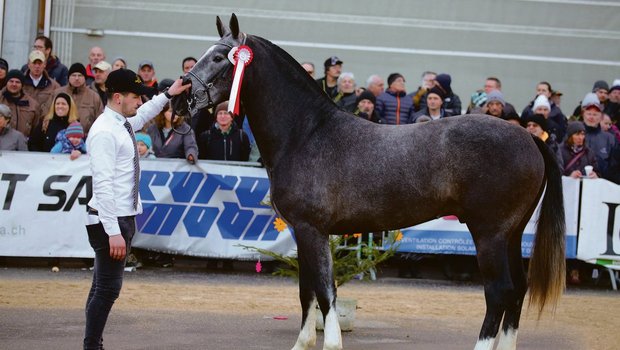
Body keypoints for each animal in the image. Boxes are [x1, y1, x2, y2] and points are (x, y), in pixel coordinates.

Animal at [176, 14, 568, 350]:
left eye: (220, 58)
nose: (180, 98)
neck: (306, 133)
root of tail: (529, 137)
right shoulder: (303, 232)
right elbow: (307, 291)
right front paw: (303, 342)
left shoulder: (312, 229)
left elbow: (324, 291)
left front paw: (331, 343)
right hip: (512, 234)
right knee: (517, 290)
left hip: (490, 234)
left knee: (499, 292)